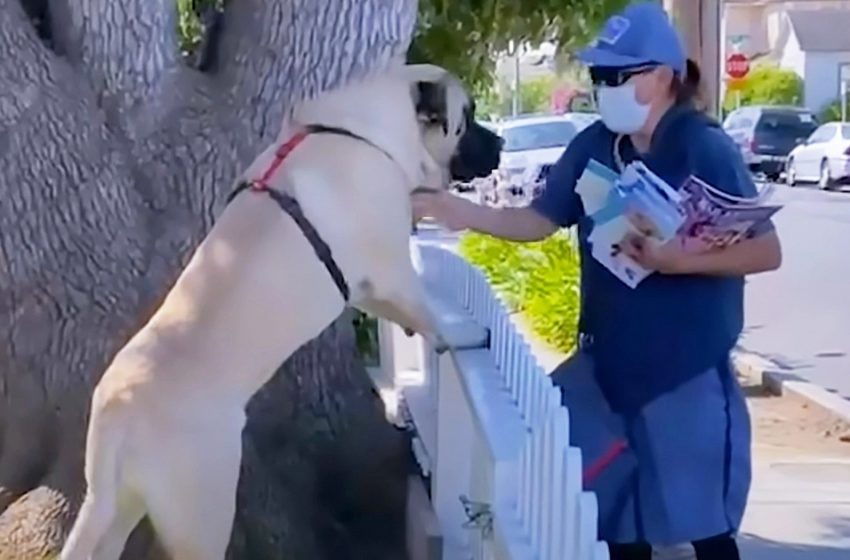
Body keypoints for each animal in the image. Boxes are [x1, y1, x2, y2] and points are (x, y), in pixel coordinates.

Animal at [61, 63, 504, 556]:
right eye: (468, 117)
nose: (502, 144)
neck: (369, 130)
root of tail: (118, 412)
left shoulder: (369, 285)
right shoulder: (393, 269)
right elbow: (429, 313)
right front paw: (463, 333)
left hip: (120, 508)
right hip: (203, 509)